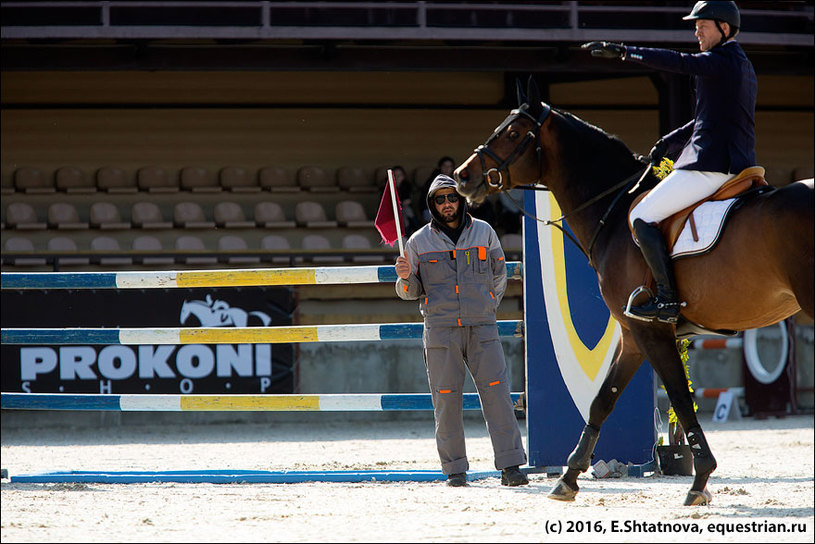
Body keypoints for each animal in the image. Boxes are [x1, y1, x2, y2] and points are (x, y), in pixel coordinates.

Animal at [456, 78, 812, 504]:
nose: (461, 176)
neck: (612, 210)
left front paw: (699, 479)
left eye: (511, 132)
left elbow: (680, 398)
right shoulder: (631, 335)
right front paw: (568, 478)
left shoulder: (651, 329)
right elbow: (601, 401)